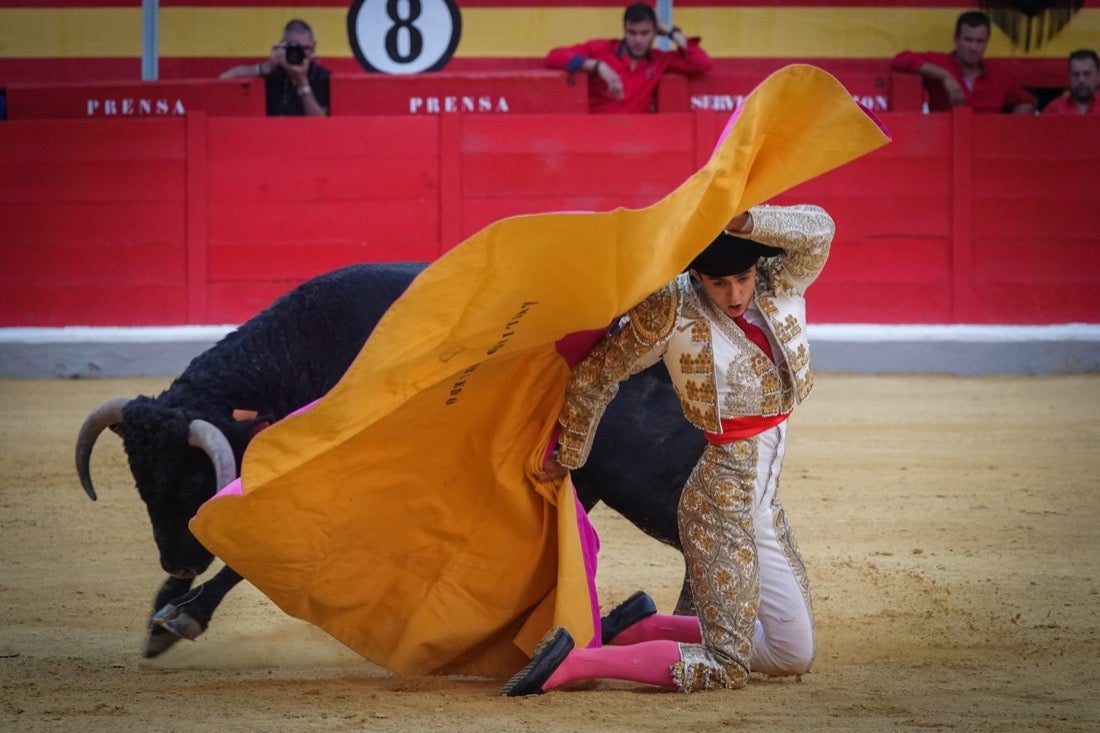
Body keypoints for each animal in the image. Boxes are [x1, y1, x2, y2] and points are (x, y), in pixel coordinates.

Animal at [75, 263, 704, 655]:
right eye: (142, 484)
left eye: (190, 481)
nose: (177, 565)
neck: (298, 359)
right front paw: (165, 616)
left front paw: (182, 612)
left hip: (638, 477)